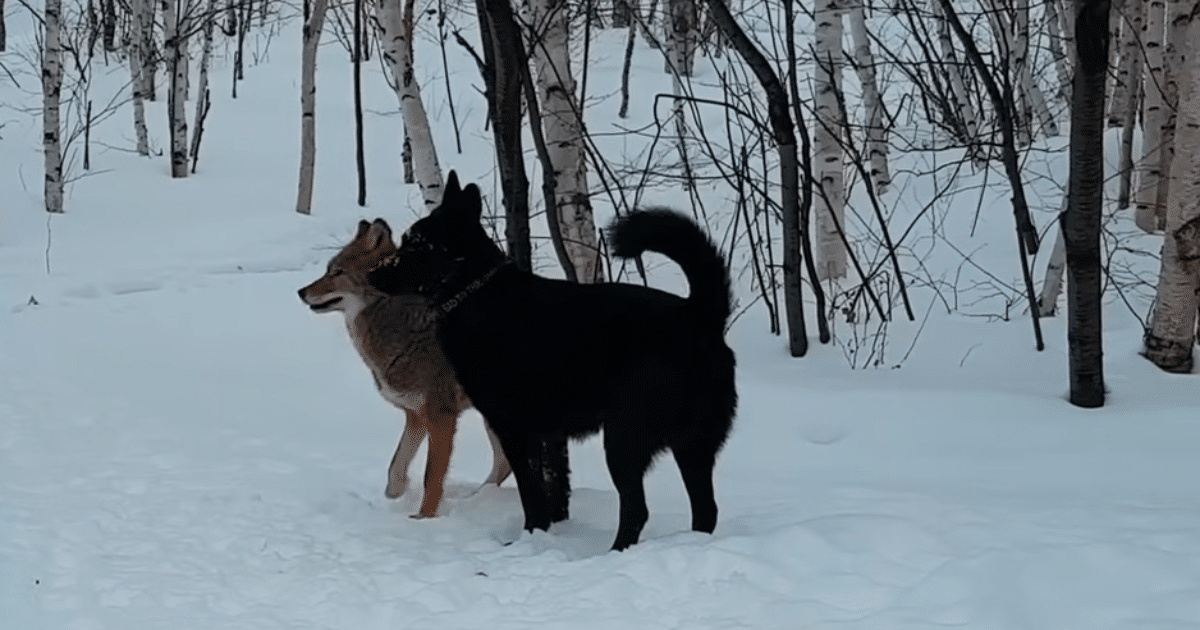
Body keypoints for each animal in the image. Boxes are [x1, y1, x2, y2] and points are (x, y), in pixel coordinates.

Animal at [369, 171, 734, 549]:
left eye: (416, 244)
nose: (371, 275)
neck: (477, 295)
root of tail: (698, 315)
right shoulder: (543, 434)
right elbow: (548, 488)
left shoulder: (514, 428)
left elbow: (531, 494)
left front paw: (530, 537)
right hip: (692, 444)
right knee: (705, 510)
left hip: (624, 437)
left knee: (637, 509)